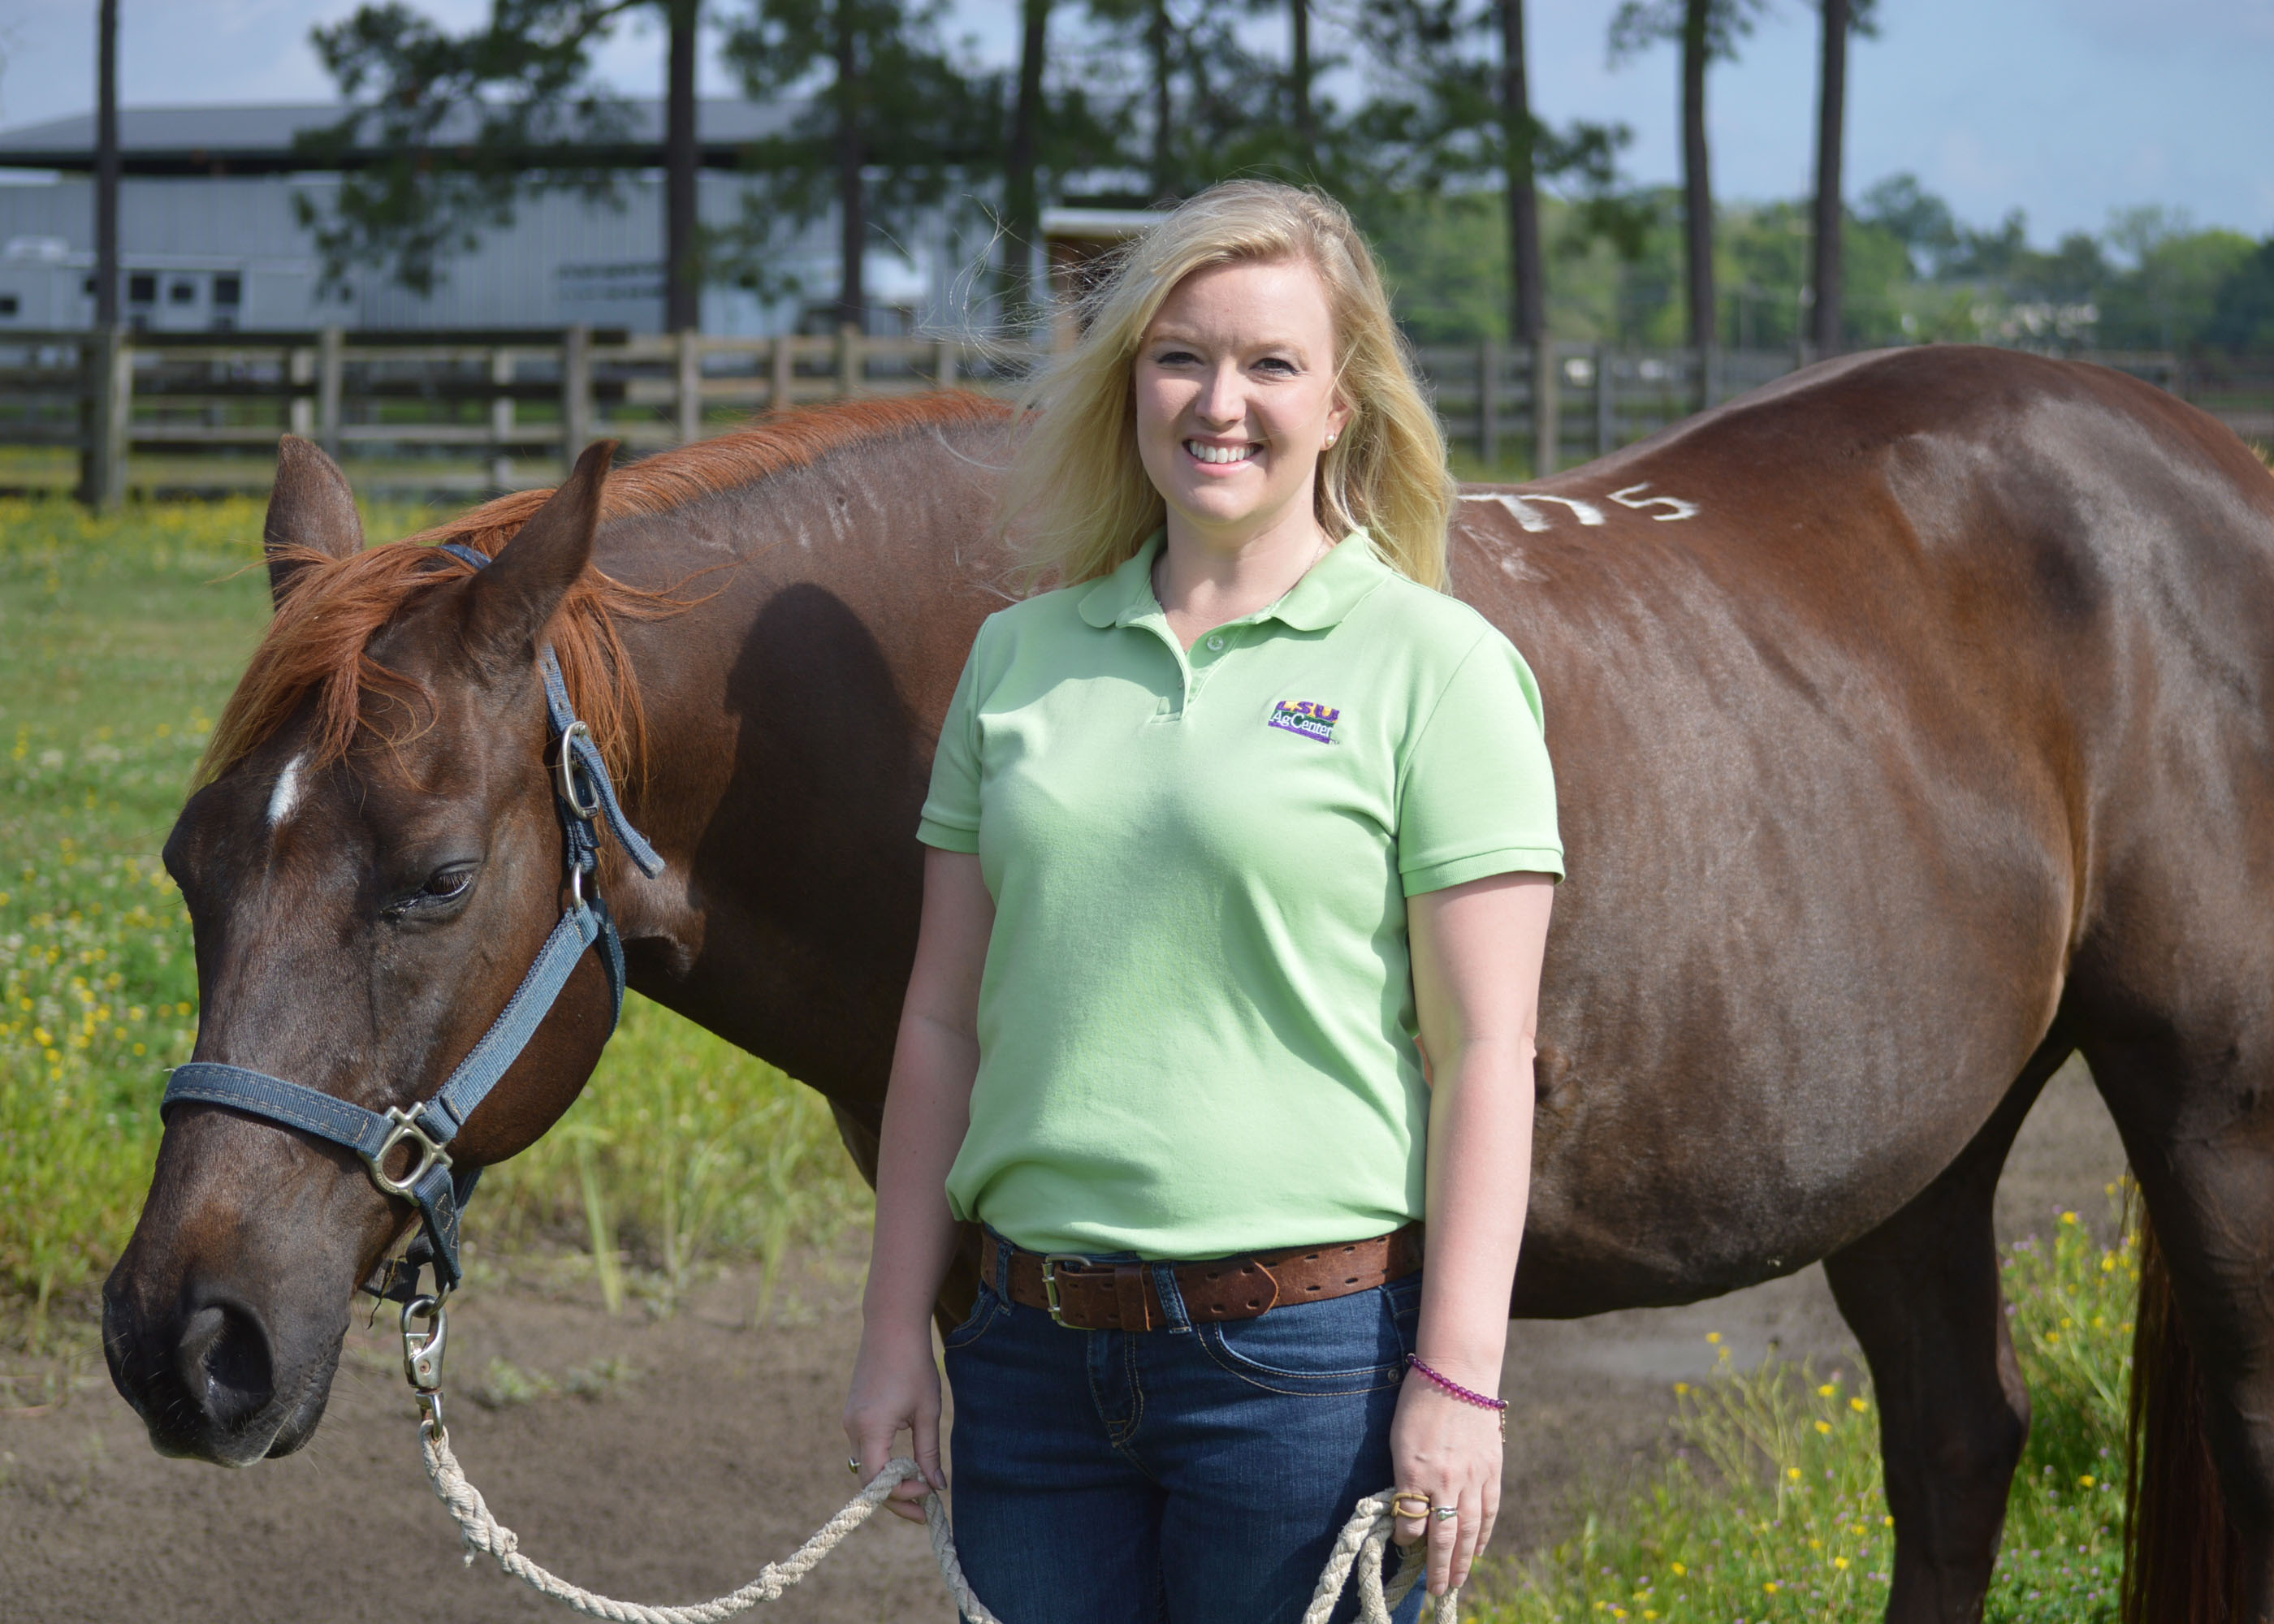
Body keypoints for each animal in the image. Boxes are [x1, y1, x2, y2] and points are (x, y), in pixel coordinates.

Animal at [99, 346, 2274, 1623]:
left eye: (436, 878)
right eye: (190, 866)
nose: (180, 1338)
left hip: (2214, 1117)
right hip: (1916, 1146)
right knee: (1957, 1445)